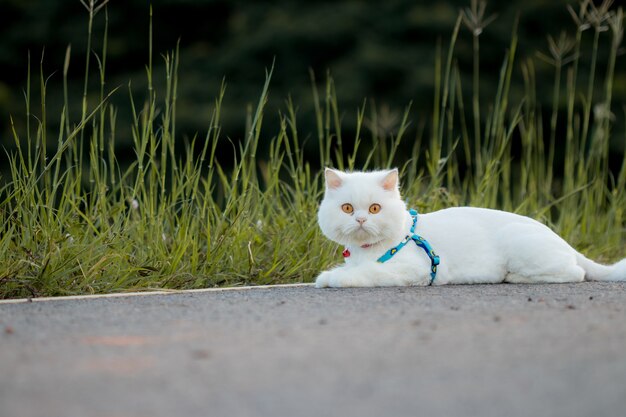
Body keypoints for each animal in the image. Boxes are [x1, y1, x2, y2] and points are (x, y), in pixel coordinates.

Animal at [316, 167, 624, 288]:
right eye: (347, 208)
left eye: (374, 209)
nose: (360, 220)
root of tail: (562, 240)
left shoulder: (411, 269)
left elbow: (366, 273)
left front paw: (333, 278)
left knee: (576, 273)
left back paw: (512, 278)